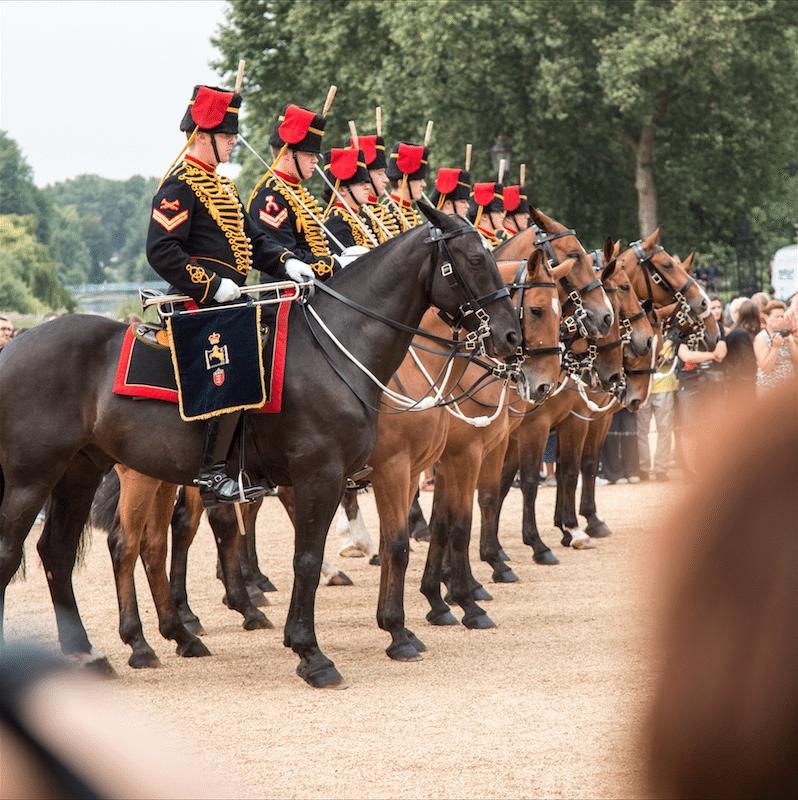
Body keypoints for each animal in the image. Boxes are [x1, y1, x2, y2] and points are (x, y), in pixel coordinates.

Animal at [0, 205, 524, 688]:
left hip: (80, 471)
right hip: (36, 478)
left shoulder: (374, 473)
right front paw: (314, 653)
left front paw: (395, 630)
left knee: (60, 553)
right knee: (41, 552)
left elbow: (394, 540)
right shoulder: (329, 474)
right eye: (475, 258)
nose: (511, 337)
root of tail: (14, 344)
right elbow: (312, 559)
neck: (339, 350)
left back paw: (96, 652)